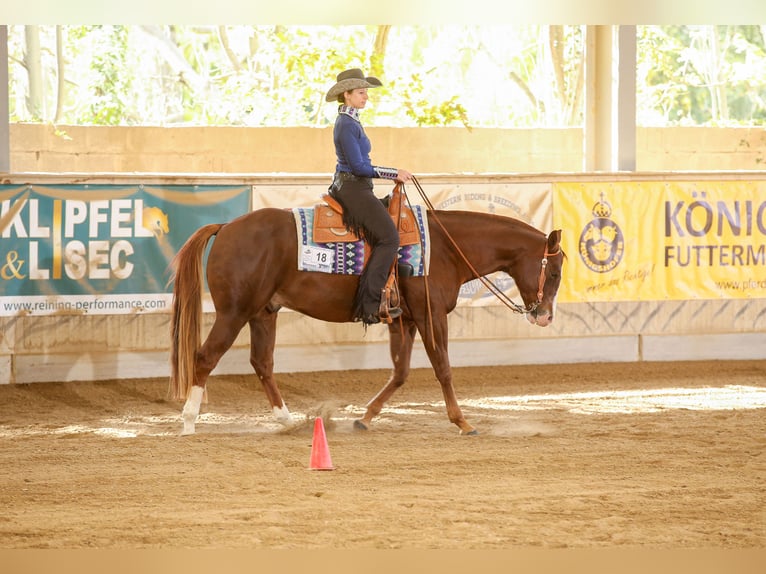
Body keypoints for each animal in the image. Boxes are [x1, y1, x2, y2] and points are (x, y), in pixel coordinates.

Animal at [168, 191, 565, 436]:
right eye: (556, 272)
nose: (544, 316)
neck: (445, 248)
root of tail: (225, 227)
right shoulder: (431, 315)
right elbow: (443, 368)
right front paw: (462, 422)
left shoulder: (405, 319)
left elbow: (400, 373)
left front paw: (365, 418)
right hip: (234, 312)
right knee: (205, 357)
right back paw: (188, 423)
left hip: (264, 312)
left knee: (262, 363)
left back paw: (288, 422)